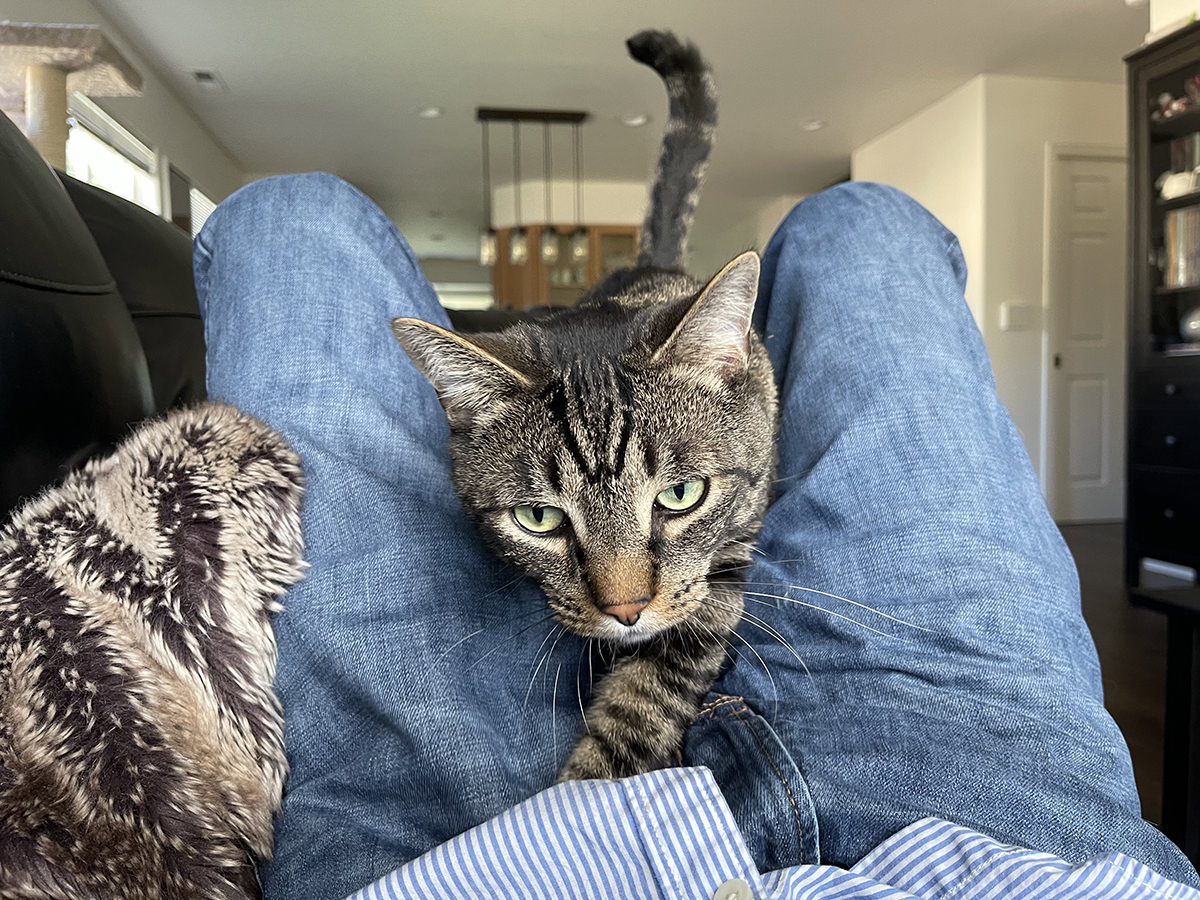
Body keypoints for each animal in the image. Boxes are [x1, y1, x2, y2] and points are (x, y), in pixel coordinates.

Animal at [388, 28, 772, 782]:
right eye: (539, 519)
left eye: (682, 495)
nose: (625, 611)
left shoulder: (723, 568)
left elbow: (645, 701)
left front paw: (587, 789)